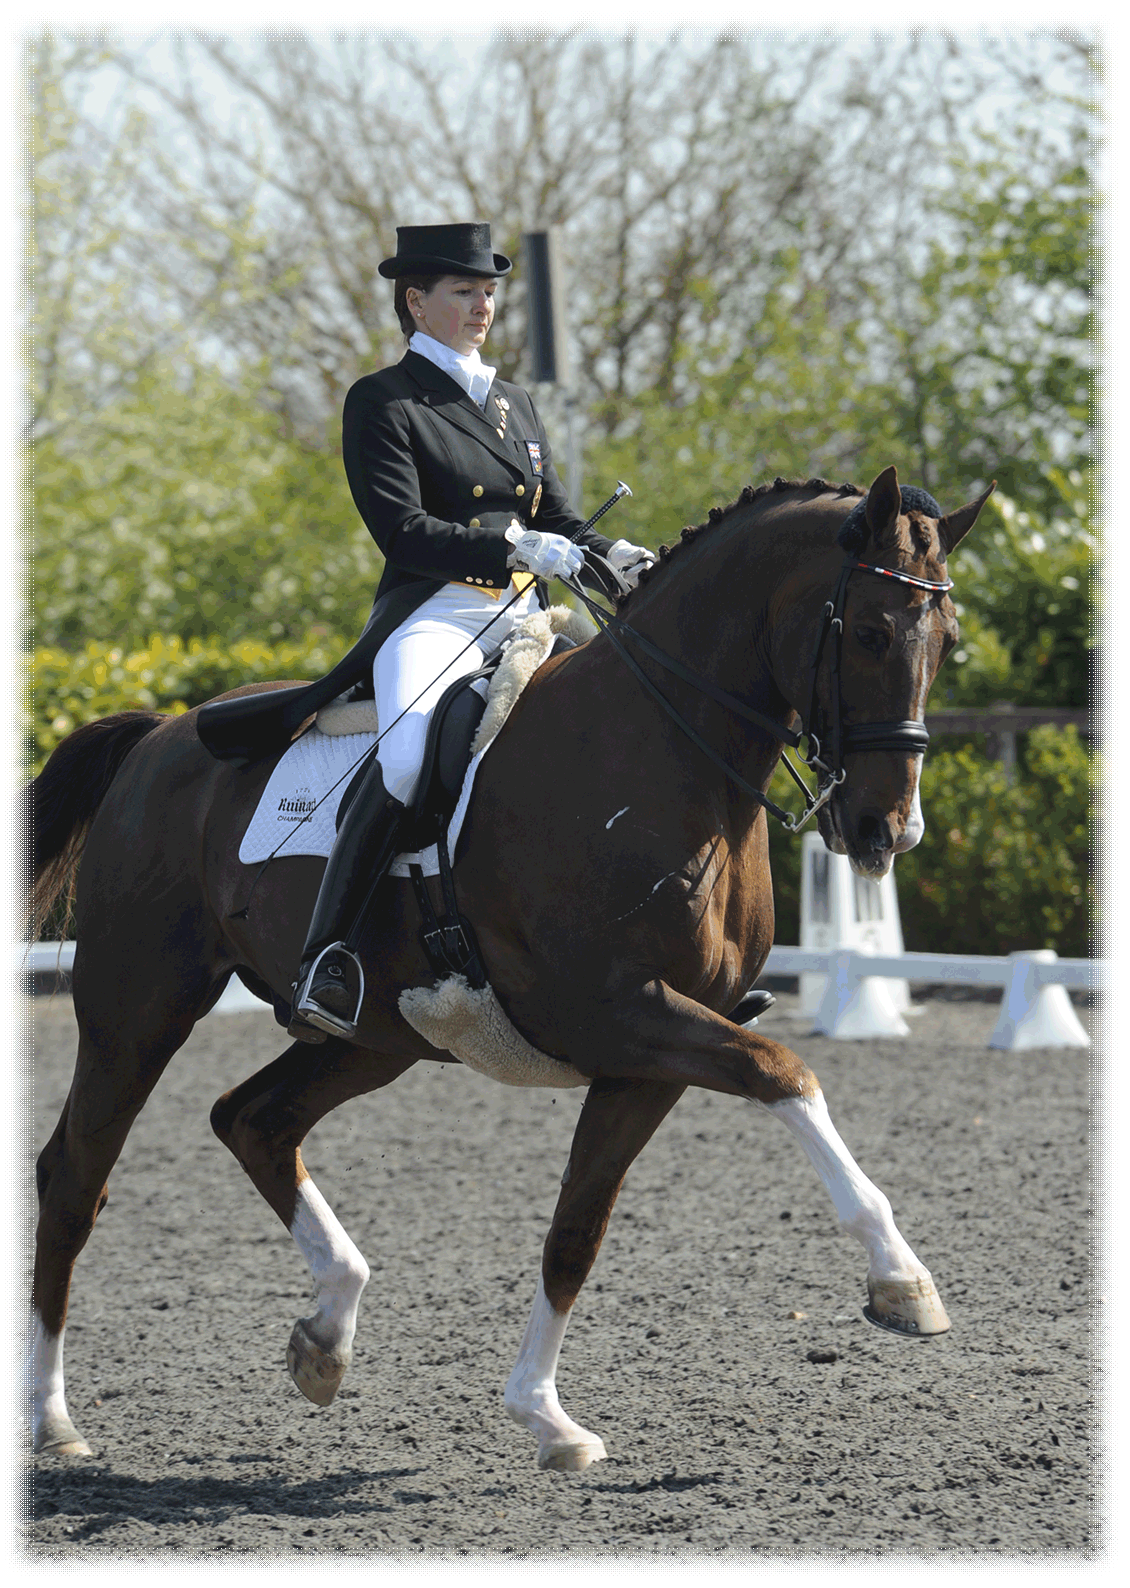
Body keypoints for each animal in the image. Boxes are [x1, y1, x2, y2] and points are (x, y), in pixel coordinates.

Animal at [27, 465, 992, 1470]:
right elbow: (787, 1072)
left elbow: (576, 1232)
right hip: (137, 1010)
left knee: (252, 1119)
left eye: (949, 641)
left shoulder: (648, 1053)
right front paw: (902, 1281)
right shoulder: (618, 1012)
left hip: (376, 1038)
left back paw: (326, 1336)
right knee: (75, 1179)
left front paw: (544, 1414)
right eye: (872, 631)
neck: (655, 748)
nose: (888, 831)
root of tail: (159, 737)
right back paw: (54, 1420)